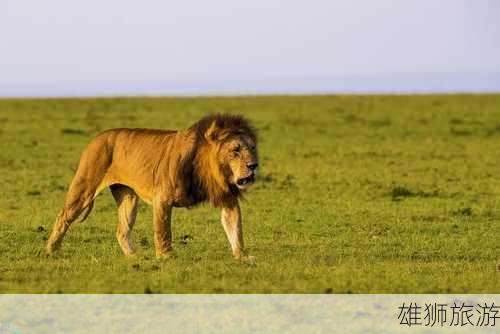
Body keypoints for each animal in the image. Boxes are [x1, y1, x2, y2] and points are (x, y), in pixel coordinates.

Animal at [47, 115, 260, 260]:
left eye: (252, 148)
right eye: (236, 150)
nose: (254, 165)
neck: (208, 170)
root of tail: (96, 137)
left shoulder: (228, 197)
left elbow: (236, 228)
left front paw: (243, 257)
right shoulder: (162, 198)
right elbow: (163, 230)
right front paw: (166, 257)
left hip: (128, 198)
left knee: (122, 230)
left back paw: (134, 256)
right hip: (85, 187)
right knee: (62, 217)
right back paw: (51, 250)